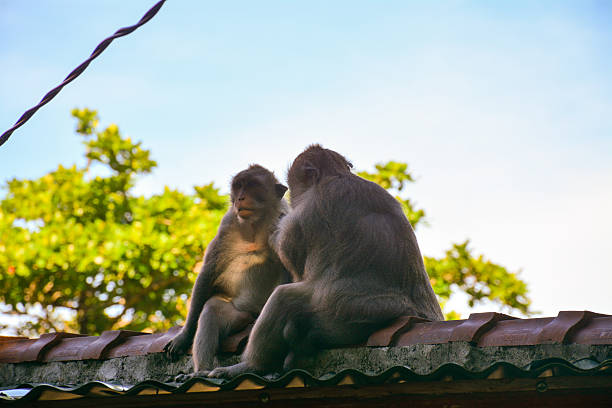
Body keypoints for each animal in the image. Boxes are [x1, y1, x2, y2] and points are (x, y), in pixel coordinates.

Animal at [164, 164, 290, 378]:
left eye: (253, 185)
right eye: (239, 186)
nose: (240, 198)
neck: (256, 224)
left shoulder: (286, 218)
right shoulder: (228, 223)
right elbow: (208, 273)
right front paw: (184, 336)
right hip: (240, 314)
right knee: (212, 309)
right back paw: (202, 371)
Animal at [208, 145, 442, 378]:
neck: (336, 176)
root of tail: (410, 313)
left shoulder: (302, 215)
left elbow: (295, 267)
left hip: (346, 313)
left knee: (284, 298)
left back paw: (253, 365)